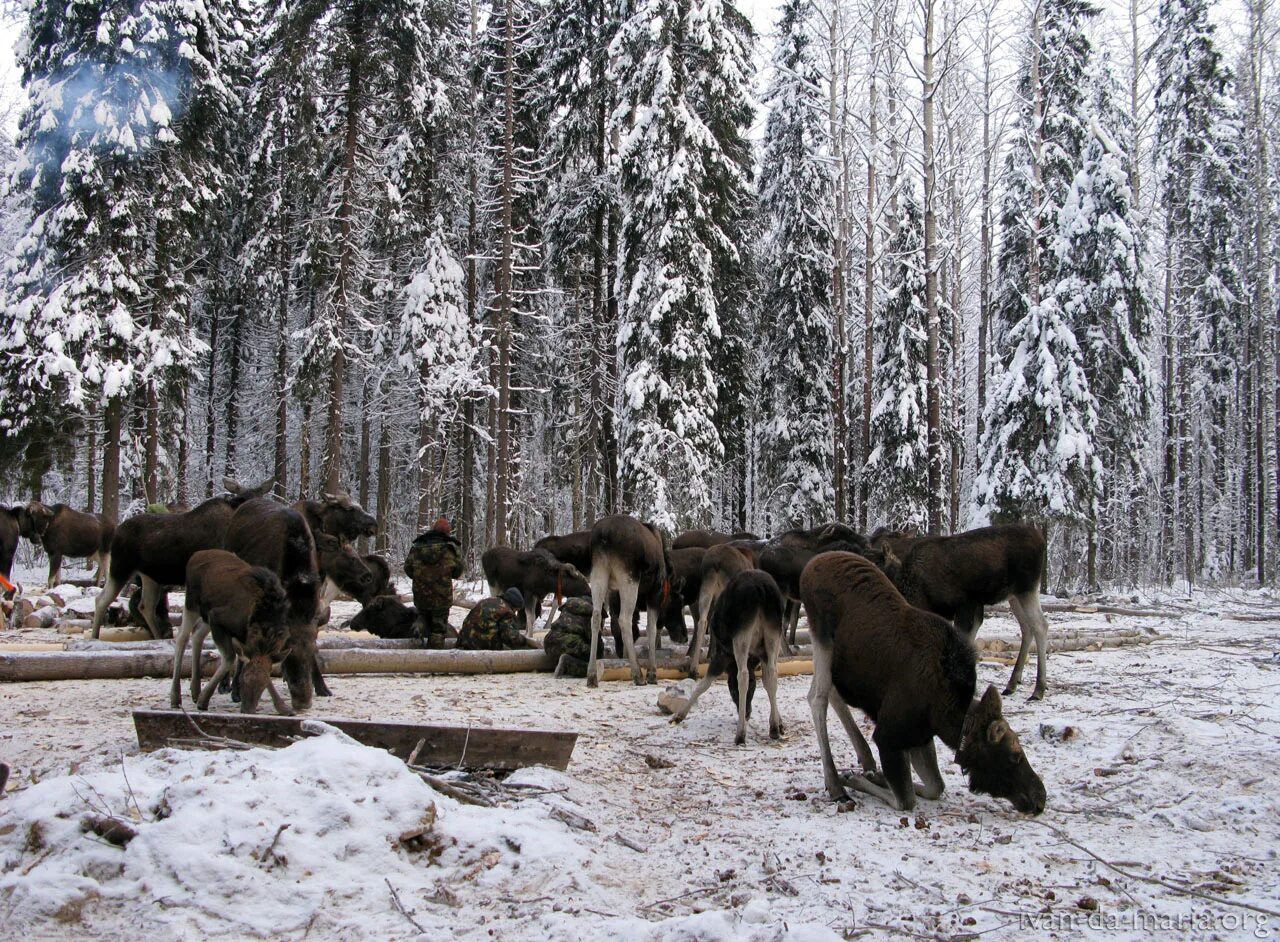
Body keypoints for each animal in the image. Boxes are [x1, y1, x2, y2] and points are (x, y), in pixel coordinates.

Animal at [168, 552, 289, 711]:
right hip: (192, 605)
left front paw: (283, 707)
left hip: (205, 616)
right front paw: (204, 700)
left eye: (263, 685)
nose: (247, 710)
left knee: (197, 634)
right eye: (244, 680)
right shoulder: (217, 618)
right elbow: (229, 658)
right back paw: (176, 697)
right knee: (182, 637)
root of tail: (196, 555)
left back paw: (195, 691)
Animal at [803, 552, 1044, 819]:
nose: (1040, 798)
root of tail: (811, 564)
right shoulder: (888, 736)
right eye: (1015, 755)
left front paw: (876, 776)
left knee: (832, 692)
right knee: (817, 697)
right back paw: (835, 783)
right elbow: (905, 799)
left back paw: (864, 760)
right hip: (822, 639)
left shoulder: (919, 736)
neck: (945, 714)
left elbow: (935, 786)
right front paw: (855, 779)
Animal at [870, 522, 1049, 701]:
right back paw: (1012, 684)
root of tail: (1040, 538)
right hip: (1013, 596)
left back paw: (1038, 689)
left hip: (1026, 589)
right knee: (1026, 627)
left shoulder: (966, 605)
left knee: (1040, 626)